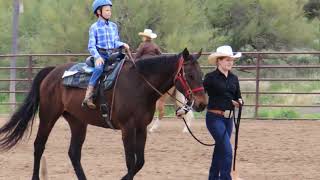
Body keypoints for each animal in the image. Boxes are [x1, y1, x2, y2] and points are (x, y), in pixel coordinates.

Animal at [0, 48, 208, 179]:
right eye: (190, 75)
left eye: (201, 74)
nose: (202, 103)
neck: (140, 85)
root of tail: (52, 72)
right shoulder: (127, 128)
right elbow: (131, 162)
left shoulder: (141, 128)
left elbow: (139, 162)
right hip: (48, 115)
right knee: (39, 145)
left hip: (77, 122)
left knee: (74, 153)